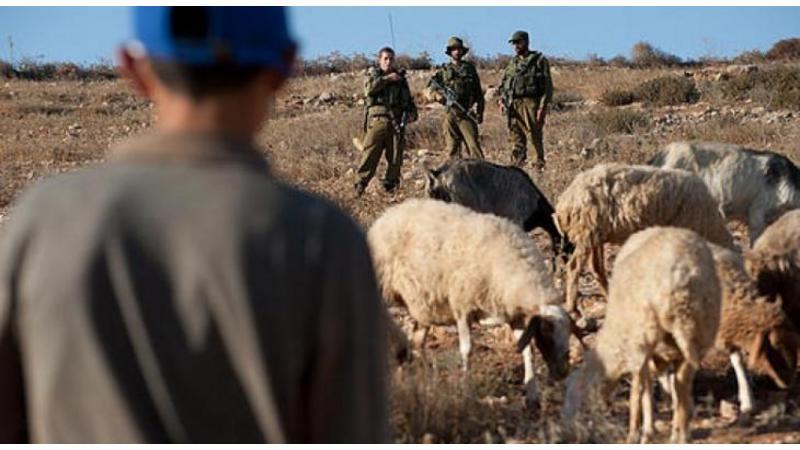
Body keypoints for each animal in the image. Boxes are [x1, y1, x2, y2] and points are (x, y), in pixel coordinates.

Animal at [368, 199, 576, 384]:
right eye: (547, 332)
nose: (563, 372)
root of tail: (391, 212)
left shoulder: (514, 315)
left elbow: (527, 350)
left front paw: (531, 389)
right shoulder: (462, 307)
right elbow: (467, 350)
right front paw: (467, 387)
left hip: (422, 305)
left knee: (417, 342)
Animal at [552, 163, 736, 314]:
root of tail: (564, 202)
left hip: (596, 235)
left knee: (597, 268)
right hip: (586, 231)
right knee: (574, 267)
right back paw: (573, 308)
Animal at [560, 227, 720, 444]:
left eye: (575, 395)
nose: (566, 432)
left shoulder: (637, 349)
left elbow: (639, 389)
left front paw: (640, 431)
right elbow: (655, 384)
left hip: (648, 332)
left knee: (654, 386)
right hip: (701, 330)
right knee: (683, 382)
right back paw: (679, 434)